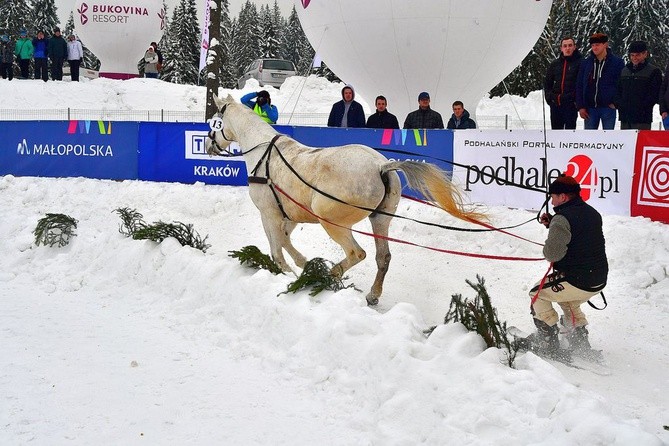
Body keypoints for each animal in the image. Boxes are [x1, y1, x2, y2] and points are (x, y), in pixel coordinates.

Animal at [206, 93, 482, 304]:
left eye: (214, 124)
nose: (209, 147)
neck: (264, 152)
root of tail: (381, 166)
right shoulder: (289, 215)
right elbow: (283, 240)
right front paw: (302, 262)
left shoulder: (269, 213)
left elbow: (276, 249)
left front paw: (288, 271)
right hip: (379, 220)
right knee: (383, 258)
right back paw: (372, 294)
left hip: (332, 222)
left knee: (356, 253)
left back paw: (328, 275)